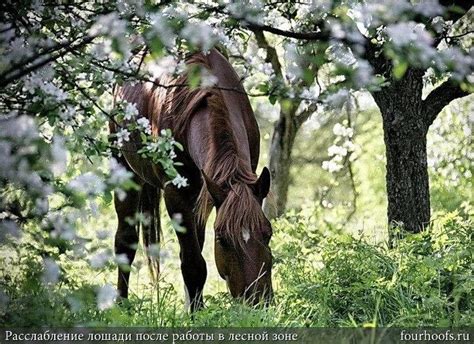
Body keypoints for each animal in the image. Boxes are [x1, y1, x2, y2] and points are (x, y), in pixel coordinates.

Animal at [110, 49, 272, 312]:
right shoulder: (176, 196)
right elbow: (193, 264)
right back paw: (121, 305)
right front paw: (196, 313)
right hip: (124, 169)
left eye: (267, 233)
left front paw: (194, 308)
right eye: (223, 240)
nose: (257, 302)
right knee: (125, 241)